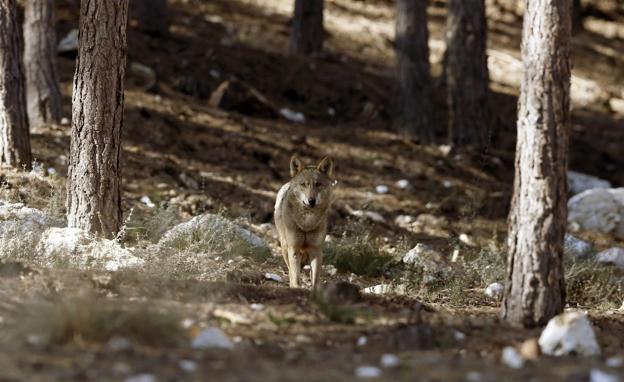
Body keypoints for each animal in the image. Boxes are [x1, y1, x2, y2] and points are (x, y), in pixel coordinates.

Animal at [274, 155, 334, 290]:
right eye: (304, 184)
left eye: (317, 184)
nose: (311, 200)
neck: (307, 223)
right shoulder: (294, 249)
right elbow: (295, 277)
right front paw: (296, 288)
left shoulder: (316, 251)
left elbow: (315, 280)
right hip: (285, 248)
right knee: (291, 272)